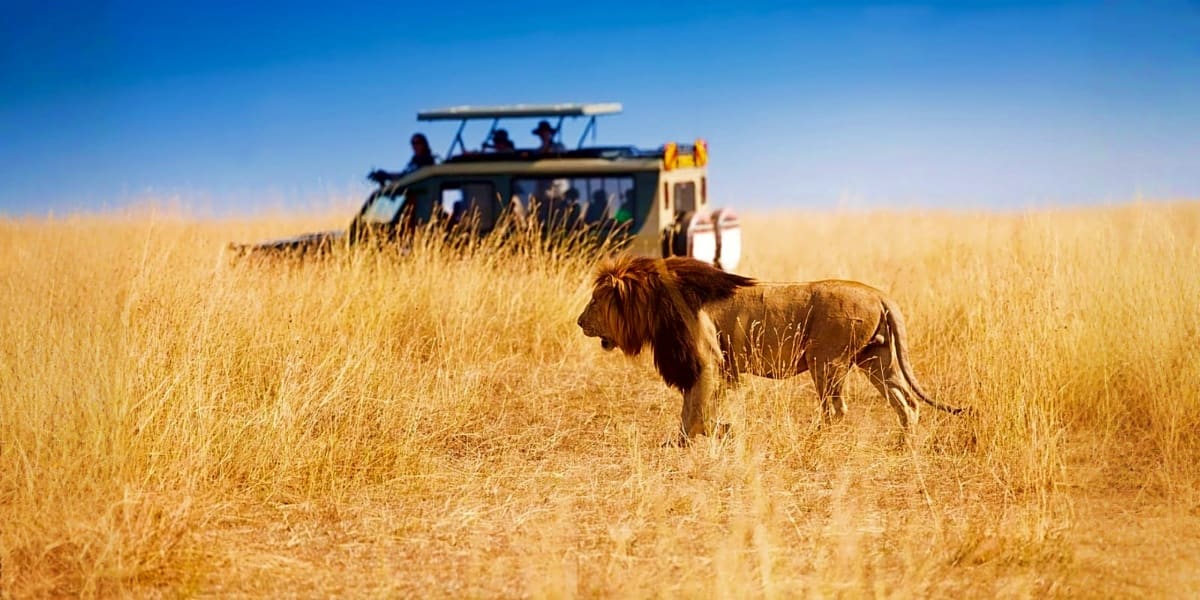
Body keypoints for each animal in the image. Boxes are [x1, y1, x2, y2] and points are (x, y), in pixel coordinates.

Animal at [576, 255, 966, 444]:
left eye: (595, 300)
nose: (580, 322)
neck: (654, 302)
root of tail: (879, 293)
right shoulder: (715, 367)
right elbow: (695, 409)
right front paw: (690, 440)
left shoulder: (707, 361)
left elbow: (697, 411)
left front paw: (715, 434)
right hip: (876, 360)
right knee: (907, 402)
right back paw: (904, 445)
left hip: (826, 361)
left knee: (836, 409)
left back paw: (813, 441)